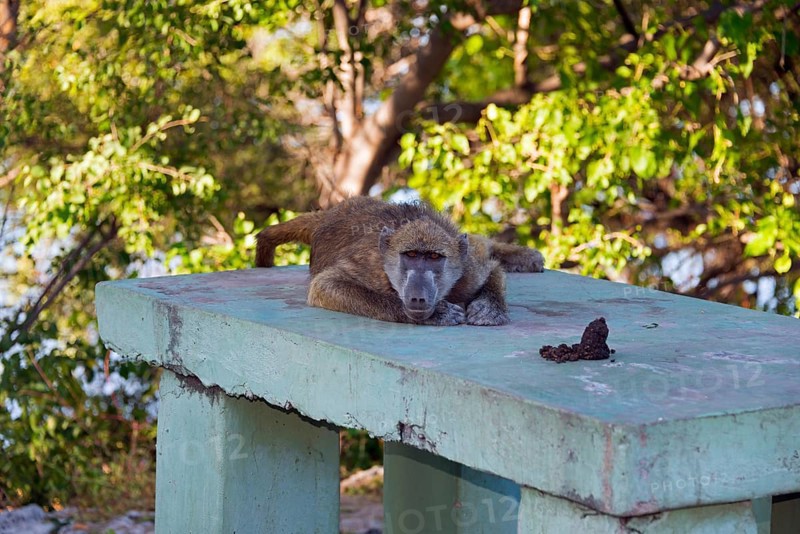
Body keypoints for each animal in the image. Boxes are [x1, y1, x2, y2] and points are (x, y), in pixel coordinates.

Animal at [255, 197, 544, 326]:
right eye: (411, 255)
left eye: (434, 257)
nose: (417, 296)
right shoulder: (371, 267)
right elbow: (325, 285)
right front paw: (436, 314)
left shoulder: (468, 271)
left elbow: (492, 269)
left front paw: (489, 308)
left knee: (478, 244)